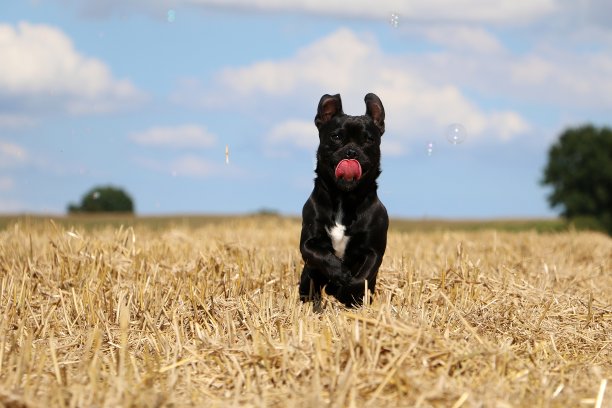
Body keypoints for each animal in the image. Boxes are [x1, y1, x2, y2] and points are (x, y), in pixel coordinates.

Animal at [298, 92, 390, 308]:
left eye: (369, 139)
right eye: (336, 136)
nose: (351, 152)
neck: (344, 197)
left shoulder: (373, 251)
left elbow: (361, 278)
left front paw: (345, 290)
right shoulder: (308, 243)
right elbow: (322, 255)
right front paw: (340, 273)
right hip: (307, 278)